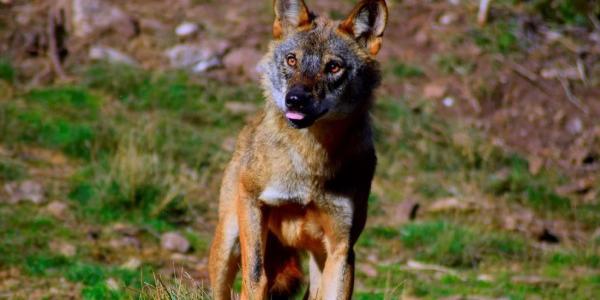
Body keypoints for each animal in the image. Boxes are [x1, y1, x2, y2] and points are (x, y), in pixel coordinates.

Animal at [210, 0, 390, 298]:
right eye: (292, 60)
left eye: (333, 67)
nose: (294, 99)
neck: (310, 161)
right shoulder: (252, 200)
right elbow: (255, 278)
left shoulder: (342, 248)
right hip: (229, 238)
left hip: (318, 258)